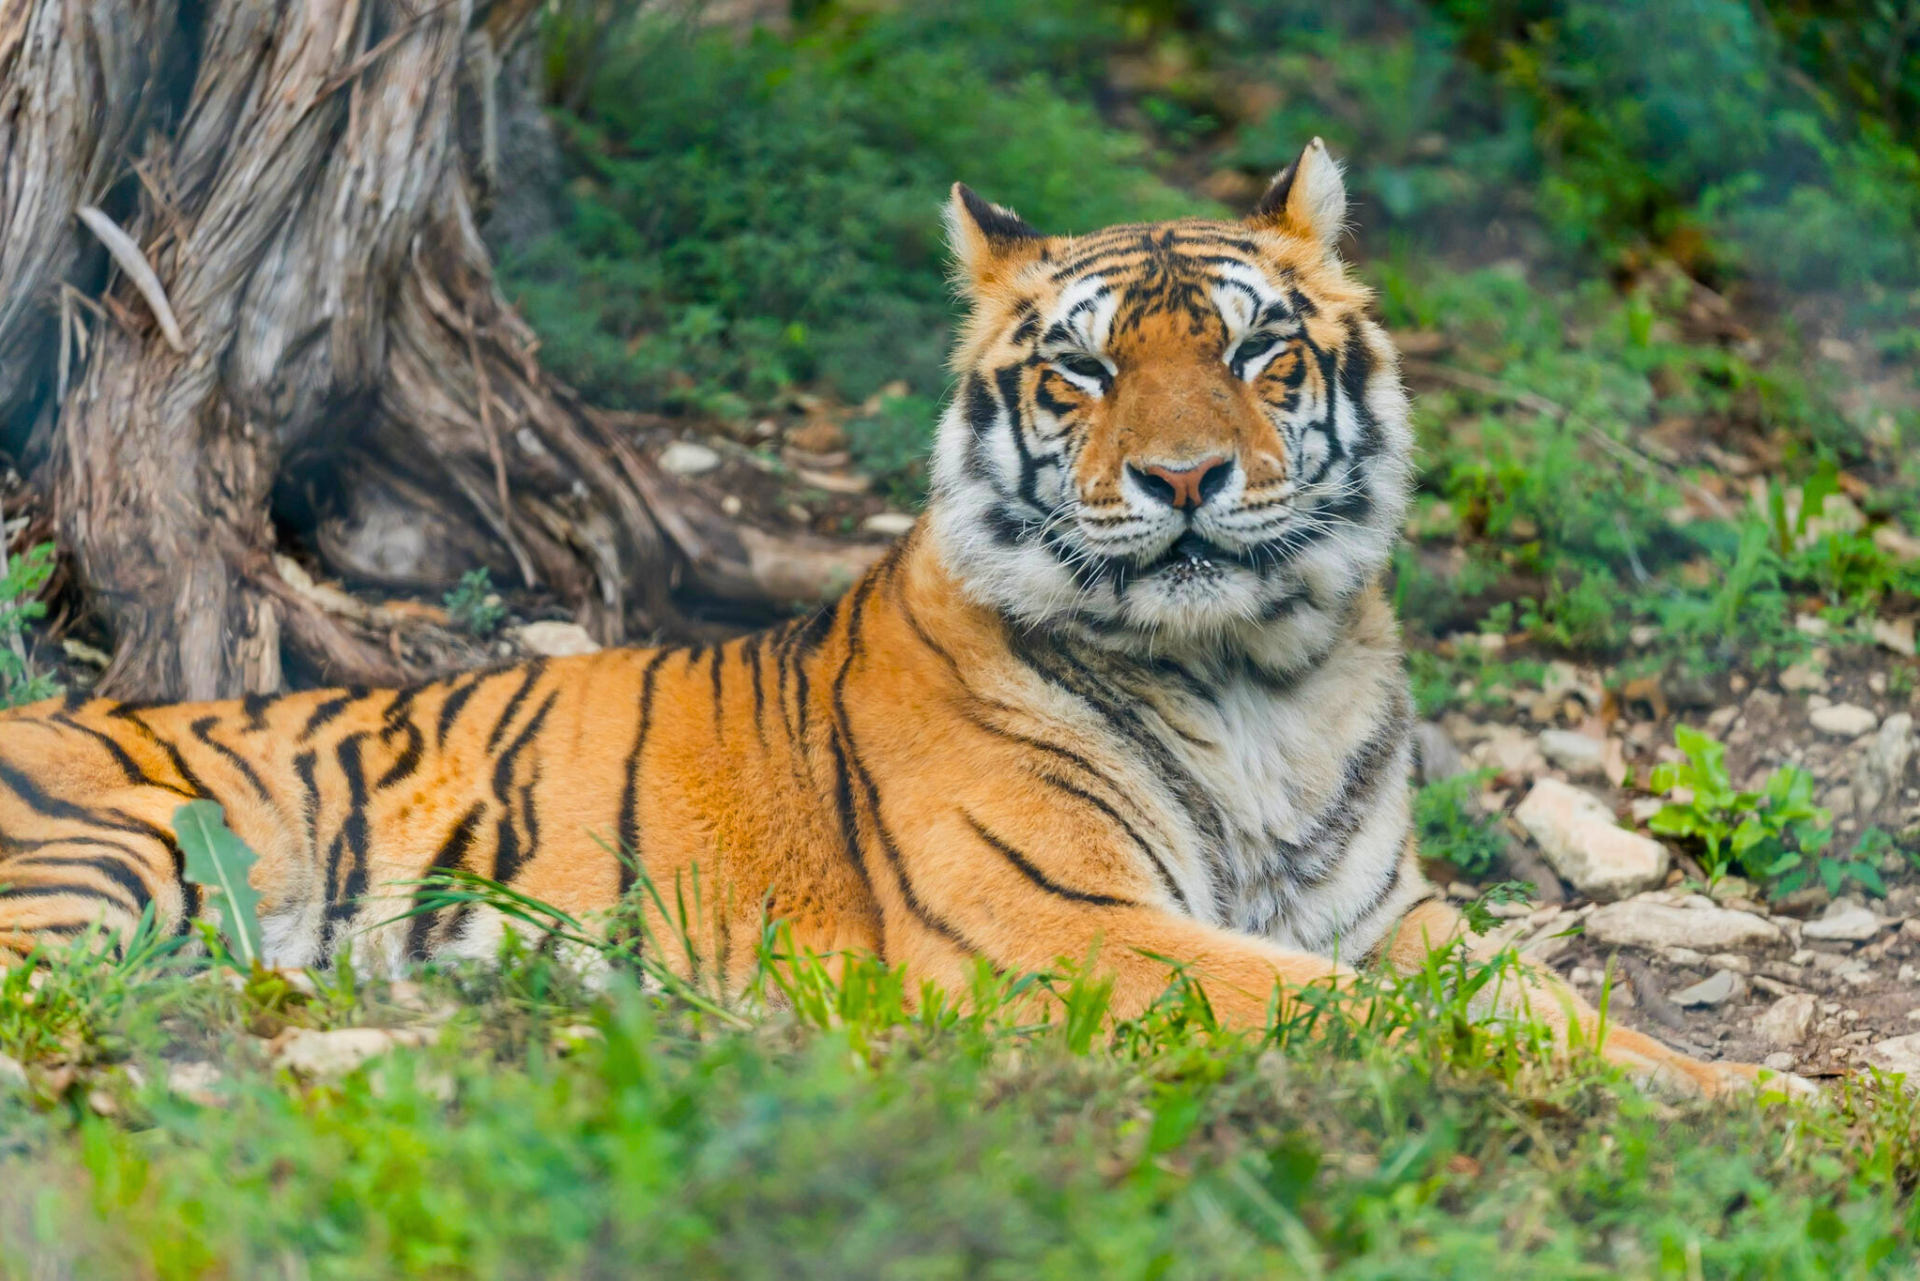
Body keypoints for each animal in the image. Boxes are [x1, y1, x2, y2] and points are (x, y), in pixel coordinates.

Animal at [0, 145, 1766, 1098]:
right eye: (1084, 371)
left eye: (1261, 357)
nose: (1186, 477)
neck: (1256, 679)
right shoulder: (1065, 925)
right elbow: (1352, 1013)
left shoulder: (1386, 912)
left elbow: (1546, 1001)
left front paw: (1741, 1095)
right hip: (111, 862)